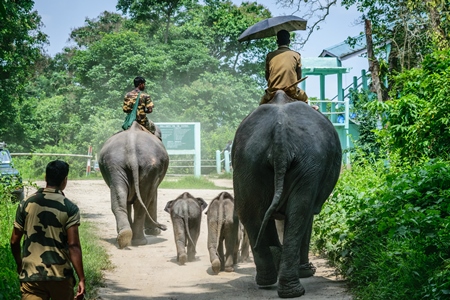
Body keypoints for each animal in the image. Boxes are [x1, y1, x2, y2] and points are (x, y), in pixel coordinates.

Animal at [232, 91, 342, 298]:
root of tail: (280, 134)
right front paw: (307, 271)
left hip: (248, 162)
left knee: (250, 212)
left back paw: (269, 279)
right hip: (308, 164)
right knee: (301, 213)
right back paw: (294, 288)